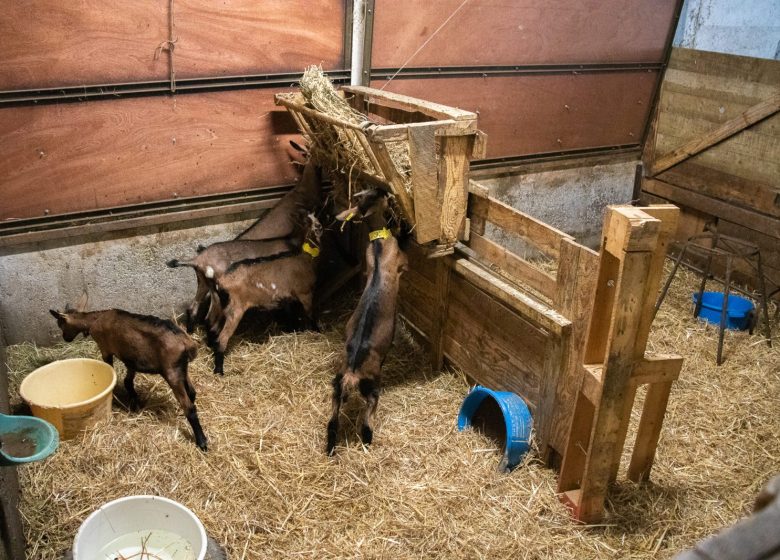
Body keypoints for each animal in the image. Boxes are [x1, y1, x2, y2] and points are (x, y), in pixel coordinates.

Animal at [48, 298, 207, 450]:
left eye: (60, 324)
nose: (66, 338)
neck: (95, 319)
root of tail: (187, 343)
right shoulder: (132, 359)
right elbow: (128, 381)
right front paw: (135, 403)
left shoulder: (105, 348)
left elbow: (113, 370)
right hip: (181, 368)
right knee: (192, 391)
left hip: (171, 371)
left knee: (189, 407)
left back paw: (202, 442)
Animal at [207, 212, 322, 374]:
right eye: (307, 221)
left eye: (314, 216)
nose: (320, 226)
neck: (302, 255)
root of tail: (221, 281)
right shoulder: (305, 293)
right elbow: (310, 314)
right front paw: (317, 331)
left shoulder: (287, 297)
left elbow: (291, 314)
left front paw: (293, 329)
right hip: (234, 310)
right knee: (222, 338)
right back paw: (219, 370)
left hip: (218, 305)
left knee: (212, 326)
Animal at [324, 190, 408, 458]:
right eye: (383, 197)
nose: (390, 193)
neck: (379, 245)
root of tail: (352, 373)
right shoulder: (401, 261)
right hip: (372, 389)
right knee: (366, 422)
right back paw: (368, 442)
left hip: (337, 389)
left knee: (332, 422)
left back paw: (330, 449)